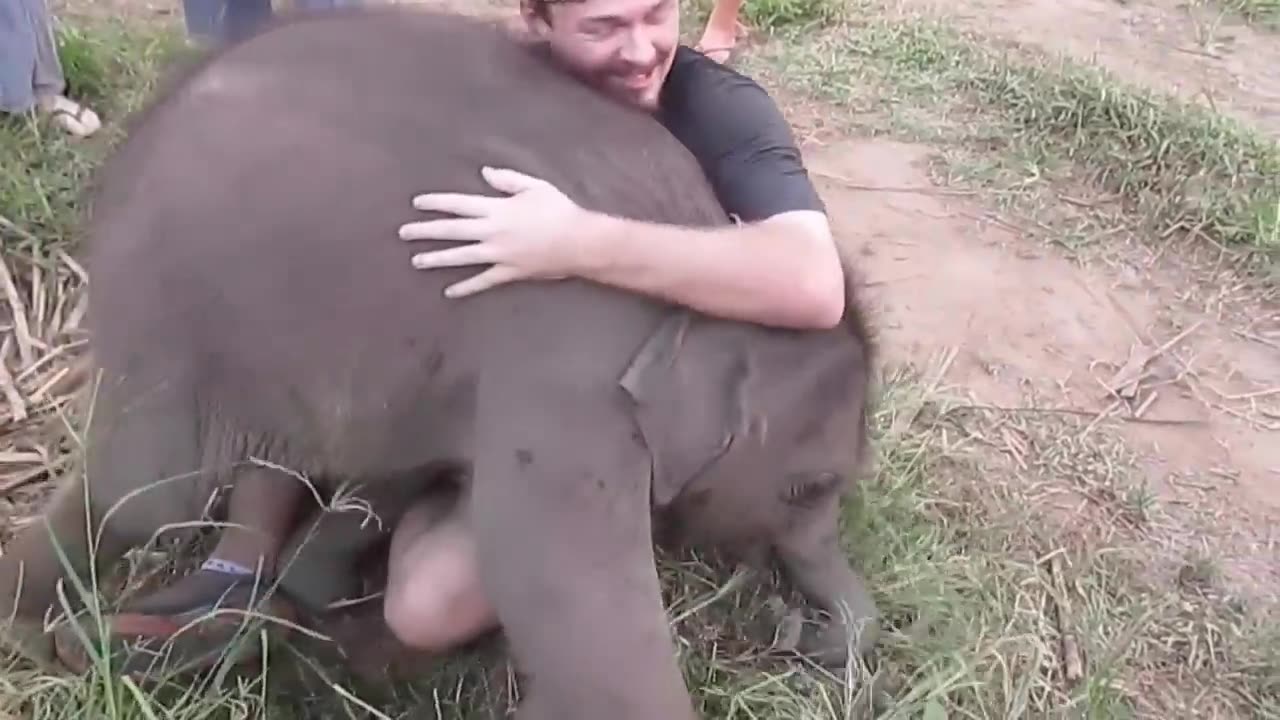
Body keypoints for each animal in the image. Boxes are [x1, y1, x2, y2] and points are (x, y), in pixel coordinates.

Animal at [0, 7, 880, 717]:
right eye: (809, 488)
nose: (796, 635)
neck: (697, 258)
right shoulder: (570, 386)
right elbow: (582, 622)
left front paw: (296, 623)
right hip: (172, 300)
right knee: (145, 495)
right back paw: (38, 635)